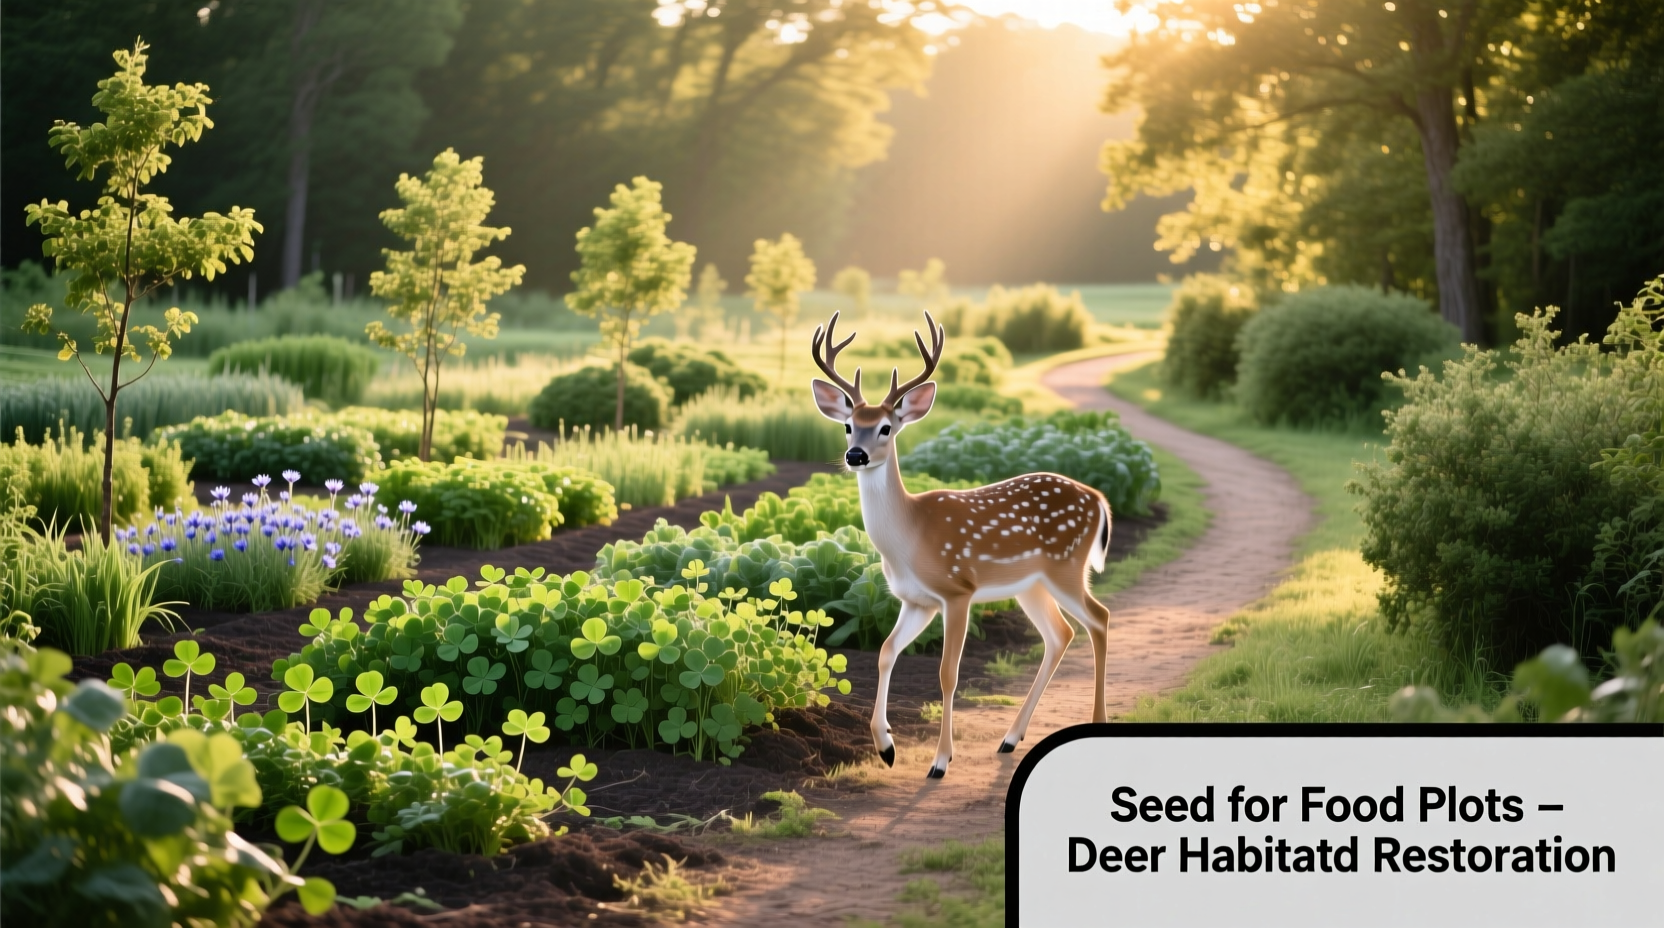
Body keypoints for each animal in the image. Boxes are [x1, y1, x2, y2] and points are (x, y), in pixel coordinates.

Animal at [809, 311, 1114, 779]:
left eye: (885, 427)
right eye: (847, 425)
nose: (855, 455)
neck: (910, 537)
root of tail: (1099, 500)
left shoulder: (957, 590)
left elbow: (947, 673)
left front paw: (940, 761)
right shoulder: (916, 600)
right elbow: (884, 652)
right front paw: (886, 747)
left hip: (1067, 566)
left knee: (1098, 618)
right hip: (1032, 584)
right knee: (1059, 633)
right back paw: (1010, 738)